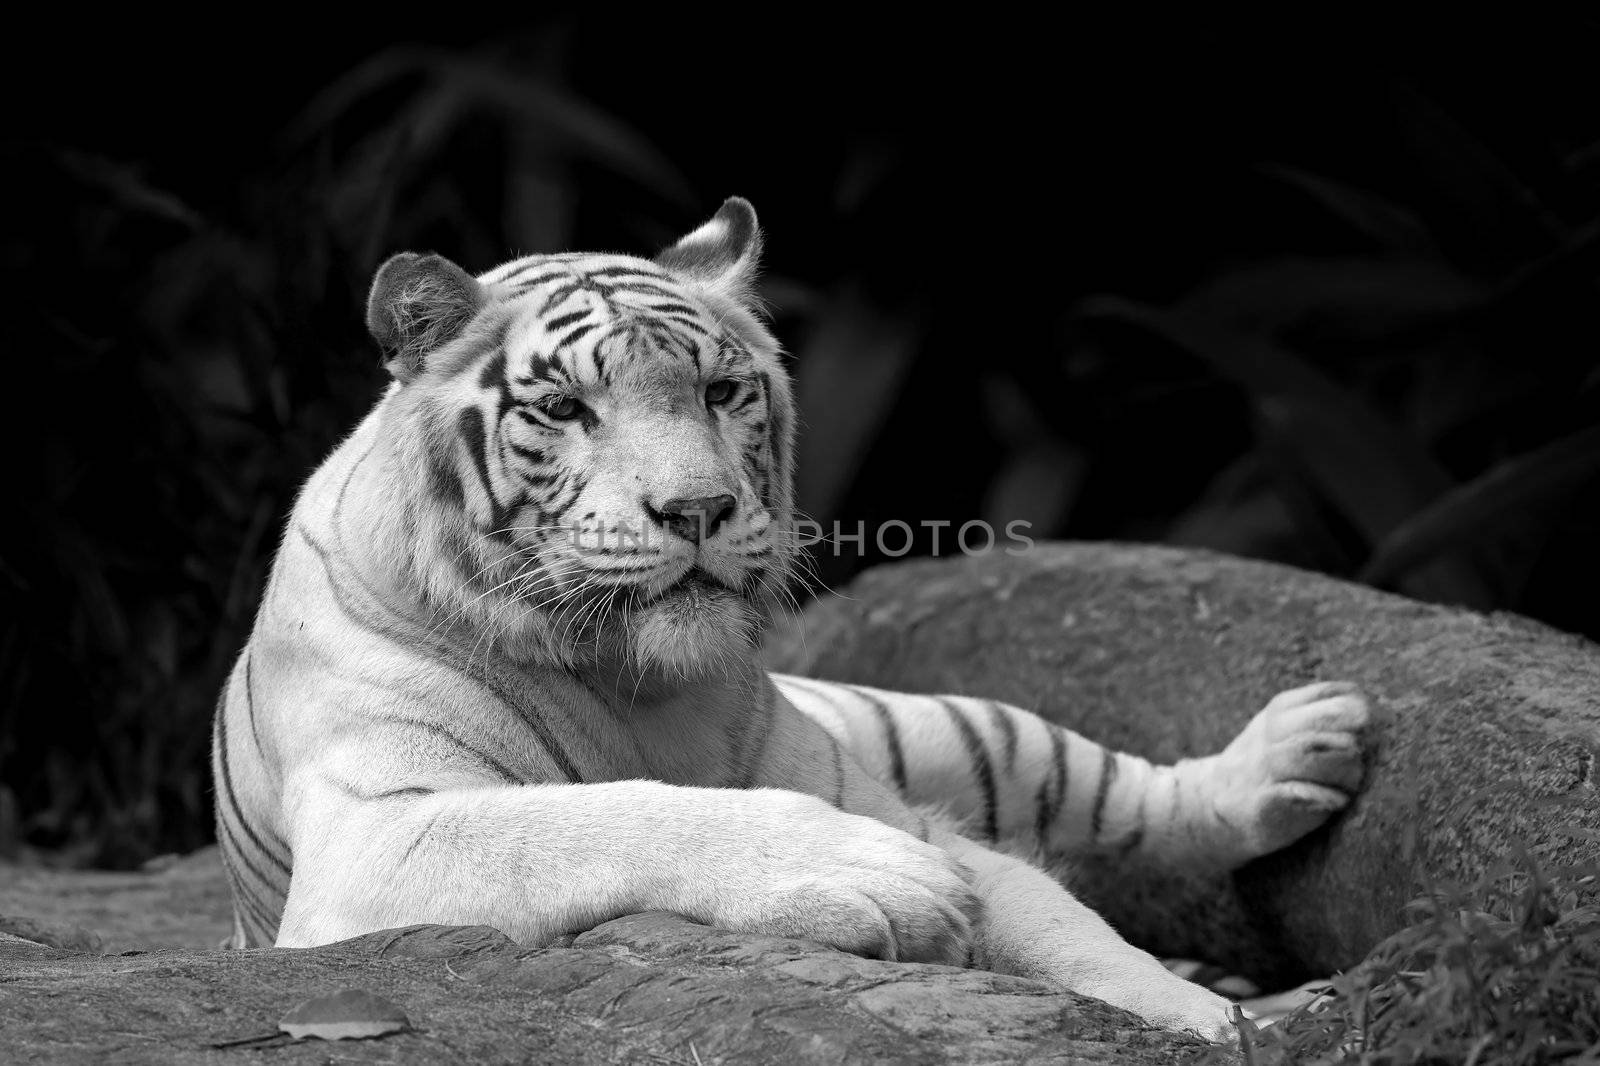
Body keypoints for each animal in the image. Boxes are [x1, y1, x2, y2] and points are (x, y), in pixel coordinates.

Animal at [206, 196, 1369, 1037]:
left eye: (721, 393)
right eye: (566, 409)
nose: (697, 509)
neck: (631, 681)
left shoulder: (903, 804)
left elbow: (1073, 932)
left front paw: (1209, 1021)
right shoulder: (375, 832)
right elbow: (596, 813)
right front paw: (875, 880)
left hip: (949, 723)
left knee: (1124, 794)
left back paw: (1299, 754)